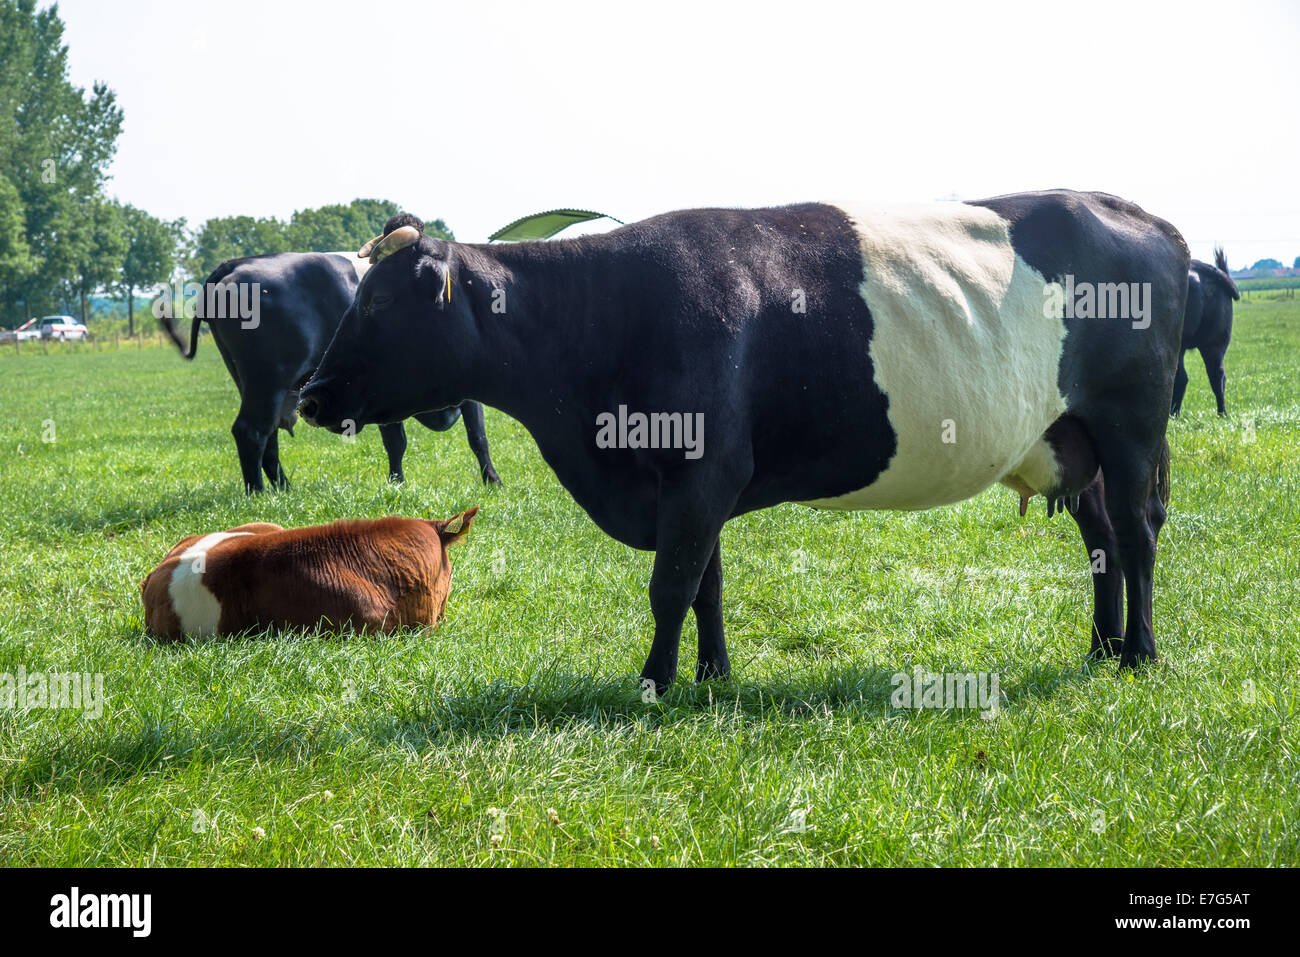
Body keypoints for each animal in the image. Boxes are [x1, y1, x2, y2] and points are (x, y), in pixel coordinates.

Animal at [158, 247, 501, 494]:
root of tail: (234, 264)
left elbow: (400, 440)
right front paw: (493, 481)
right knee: (251, 431)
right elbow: (475, 436)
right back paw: (256, 493)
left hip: (258, 386)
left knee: (268, 434)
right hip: (267, 382)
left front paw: (397, 483)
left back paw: (283, 489)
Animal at [299, 195, 1190, 691]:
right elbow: (707, 585)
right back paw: (1101, 647)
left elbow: (670, 585)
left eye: (376, 304)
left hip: (1131, 425)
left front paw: (653, 684)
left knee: (1137, 534)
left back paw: (1141, 654)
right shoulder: (697, 482)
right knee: (1104, 539)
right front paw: (713, 675)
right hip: (1071, 439)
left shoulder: (702, 469)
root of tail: (1142, 217)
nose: (310, 394)